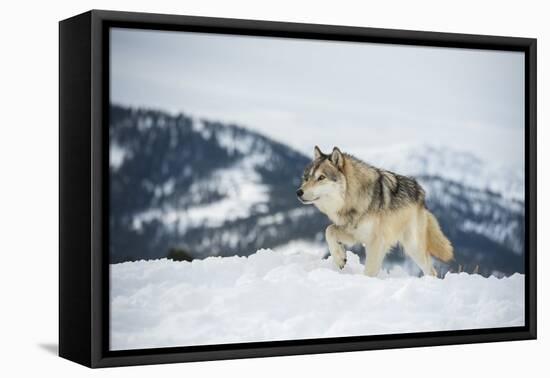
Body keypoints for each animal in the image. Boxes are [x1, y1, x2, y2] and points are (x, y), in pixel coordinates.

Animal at [300, 146, 454, 276]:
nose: (298, 192)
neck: (354, 199)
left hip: (413, 246)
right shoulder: (355, 235)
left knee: (431, 270)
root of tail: (421, 193)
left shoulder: (376, 241)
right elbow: (329, 230)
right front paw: (340, 258)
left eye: (321, 177)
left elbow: (369, 270)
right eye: (307, 178)